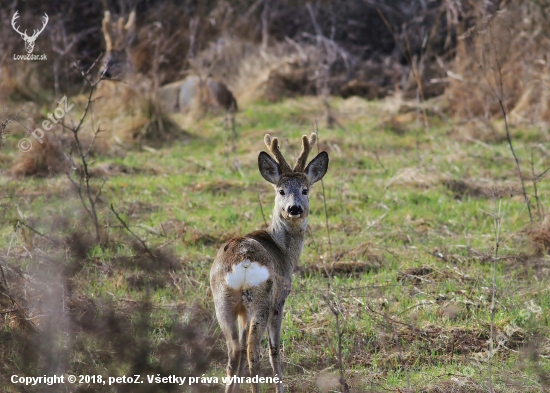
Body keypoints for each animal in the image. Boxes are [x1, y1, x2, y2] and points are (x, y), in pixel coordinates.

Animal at [211, 133, 330, 390]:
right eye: (281, 191)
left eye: (305, 190)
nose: (294, 209)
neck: (283, 250)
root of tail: (243, 261)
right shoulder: (281, 299)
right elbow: (275, 350)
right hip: (262, 299)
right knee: (252, 352)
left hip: (223, 301)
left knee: (234, 353)